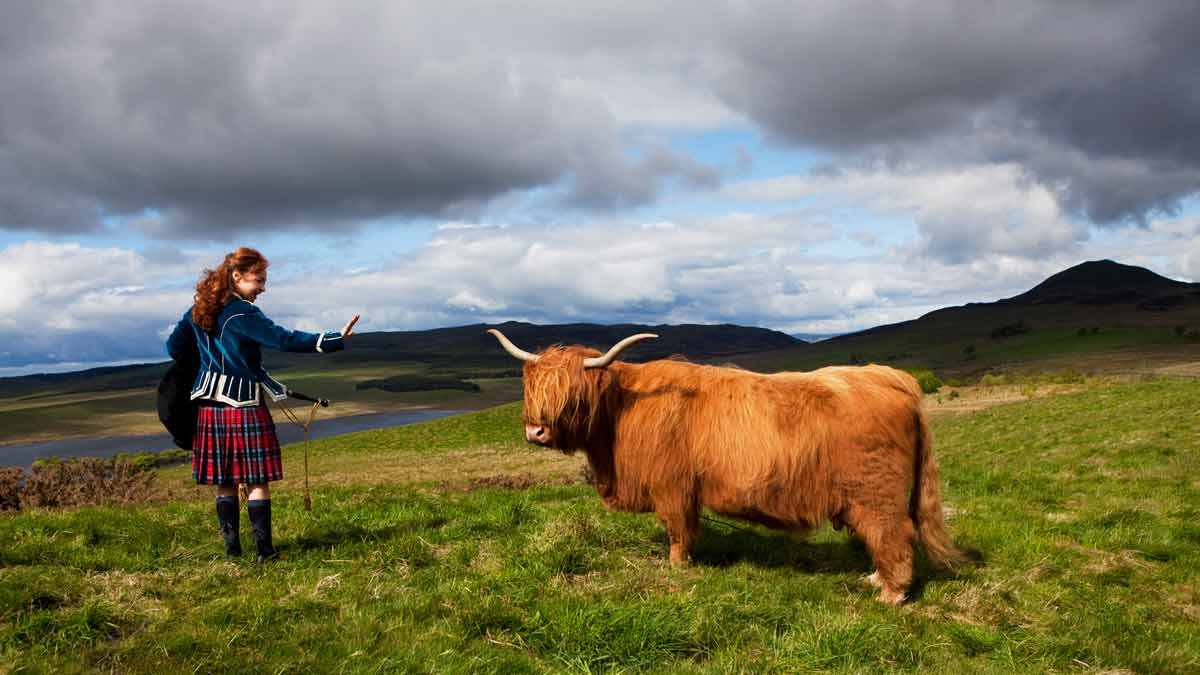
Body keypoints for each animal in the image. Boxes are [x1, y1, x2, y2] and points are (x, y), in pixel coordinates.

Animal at [492, 329, 969, 600]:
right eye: (534, 389)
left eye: (570, 394)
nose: (536, 432)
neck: (622, 408)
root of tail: (893, 378)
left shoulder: (672, 486)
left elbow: (678, 530)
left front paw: (677, 567)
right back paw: (874, 579)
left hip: (875, 493)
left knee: (894, 535)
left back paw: (891, 594)